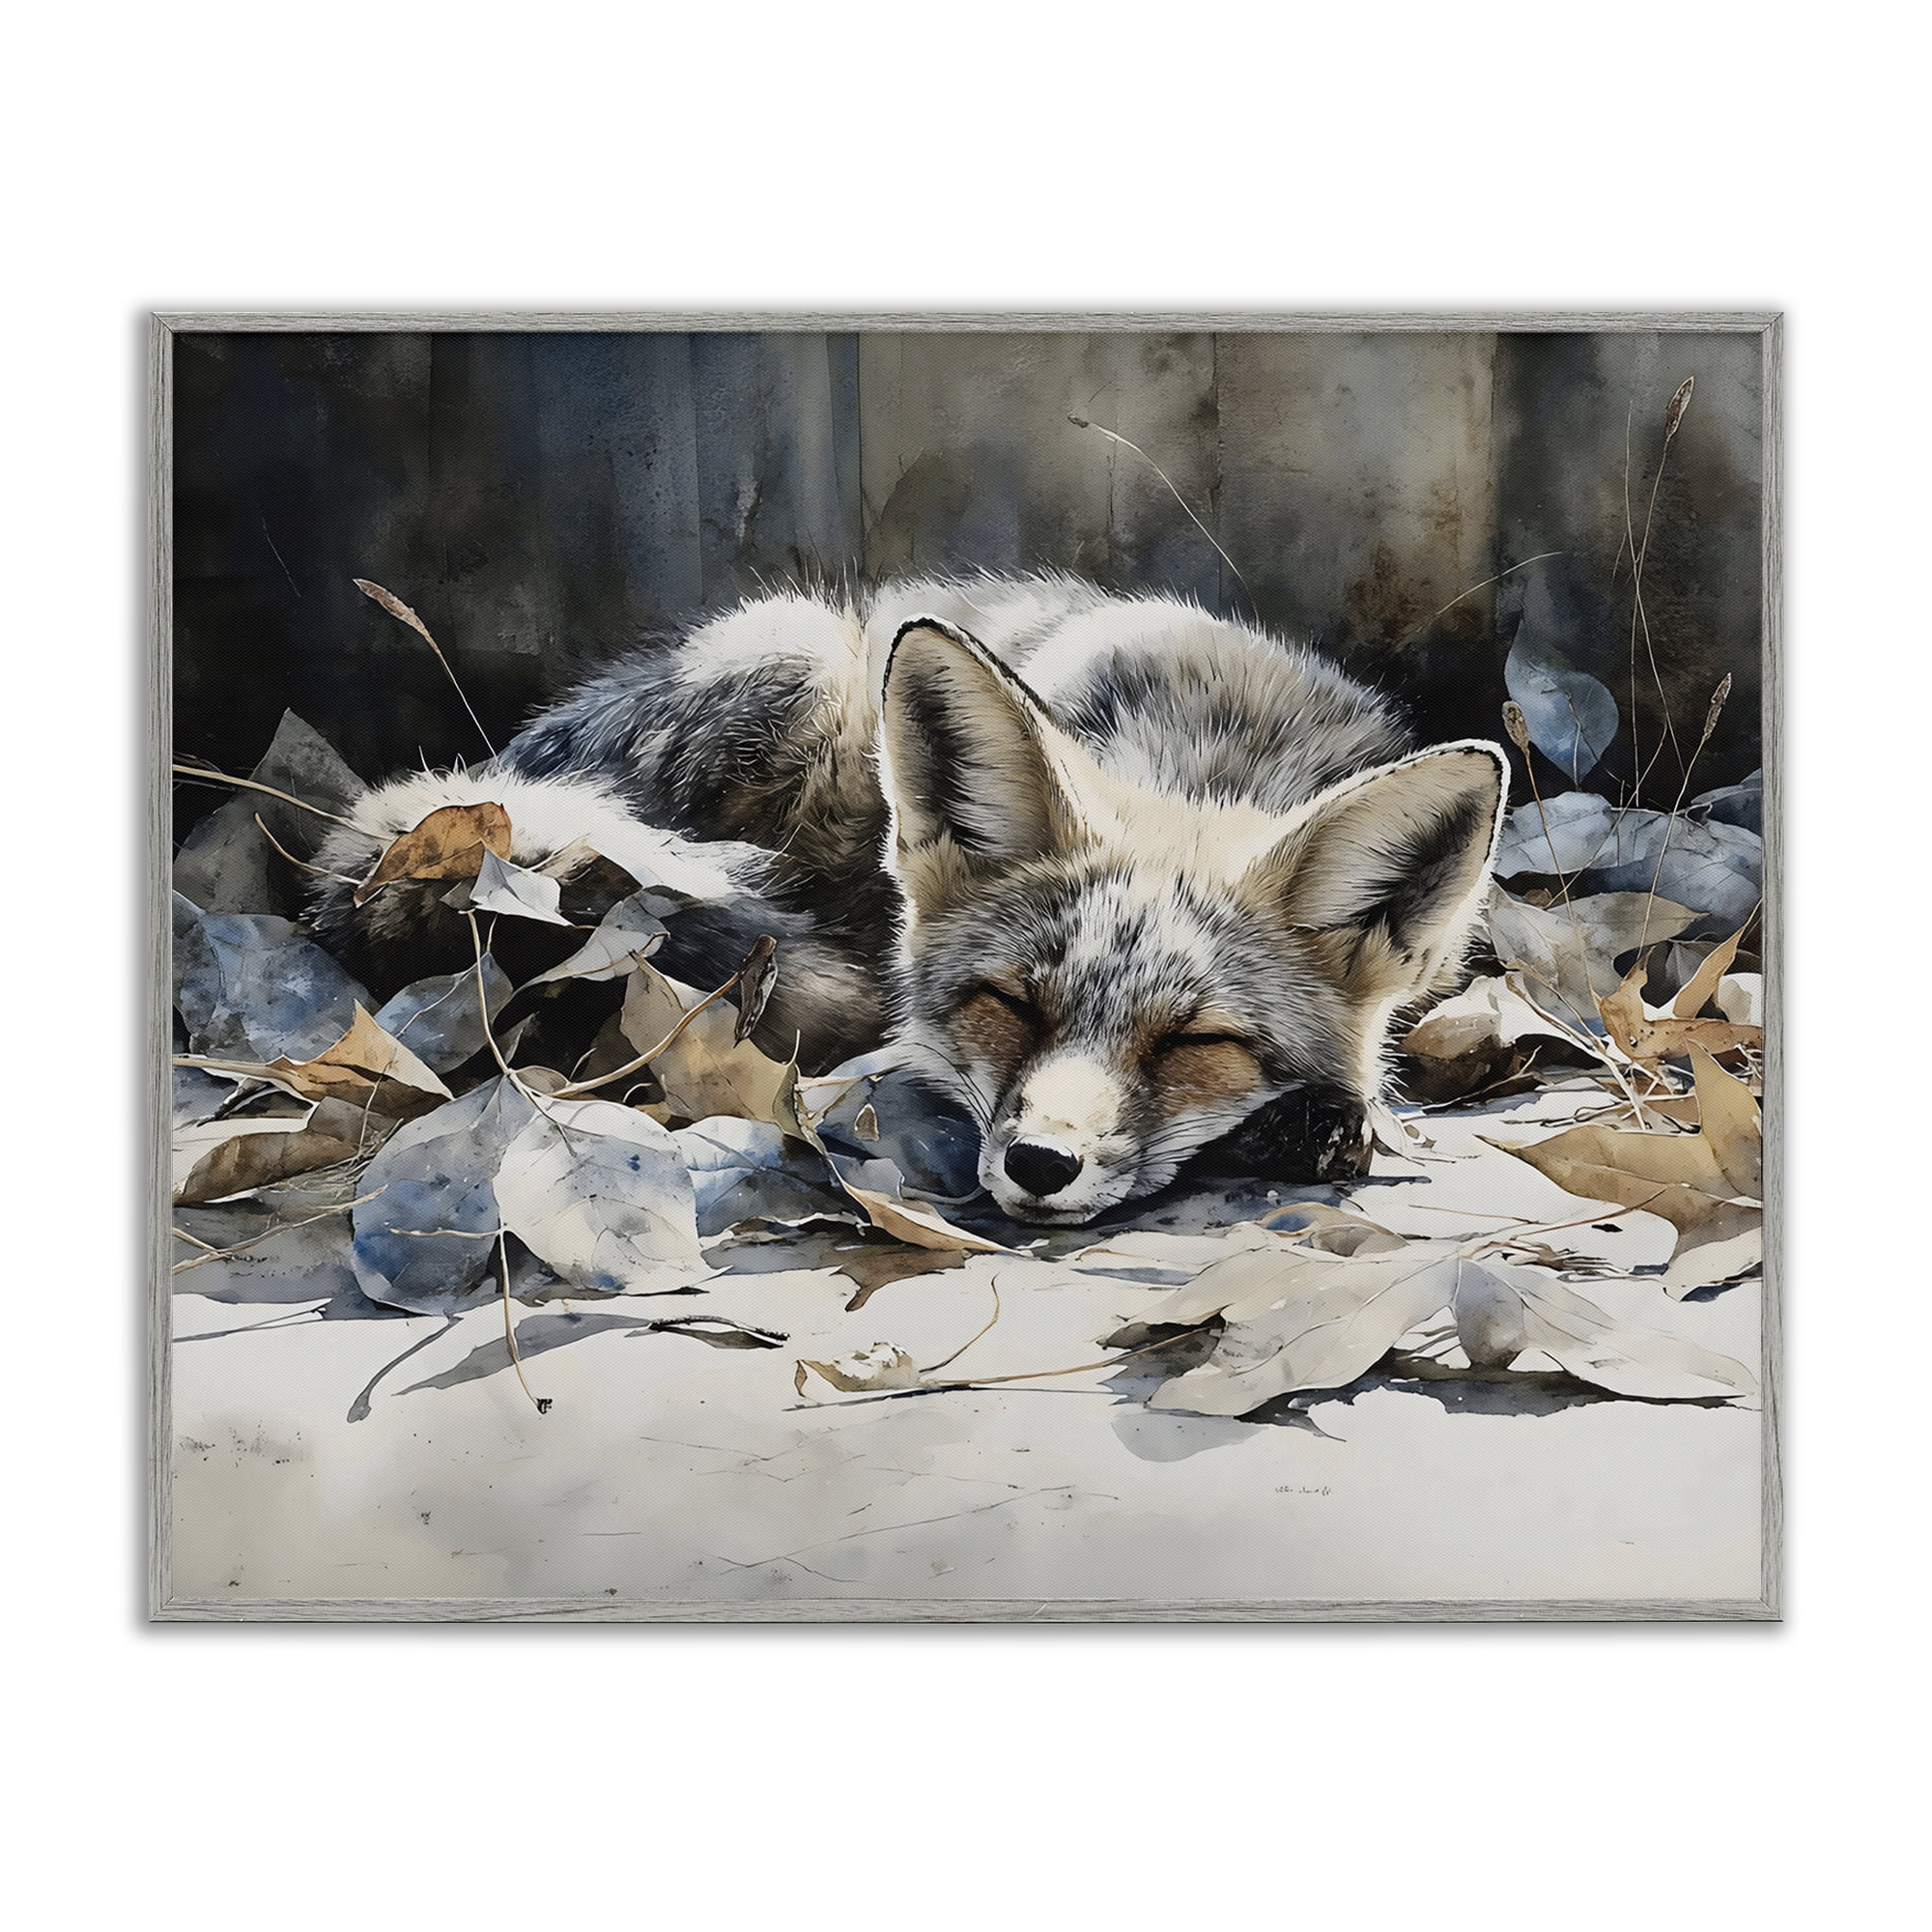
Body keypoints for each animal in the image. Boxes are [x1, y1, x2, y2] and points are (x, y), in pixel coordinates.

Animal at [309, 573, 1507, 1226]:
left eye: (1191, 1042)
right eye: (1008, 1003)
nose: (1037, 1165)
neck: (1204, 757)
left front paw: (1321, 1116)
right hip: (791, 654)